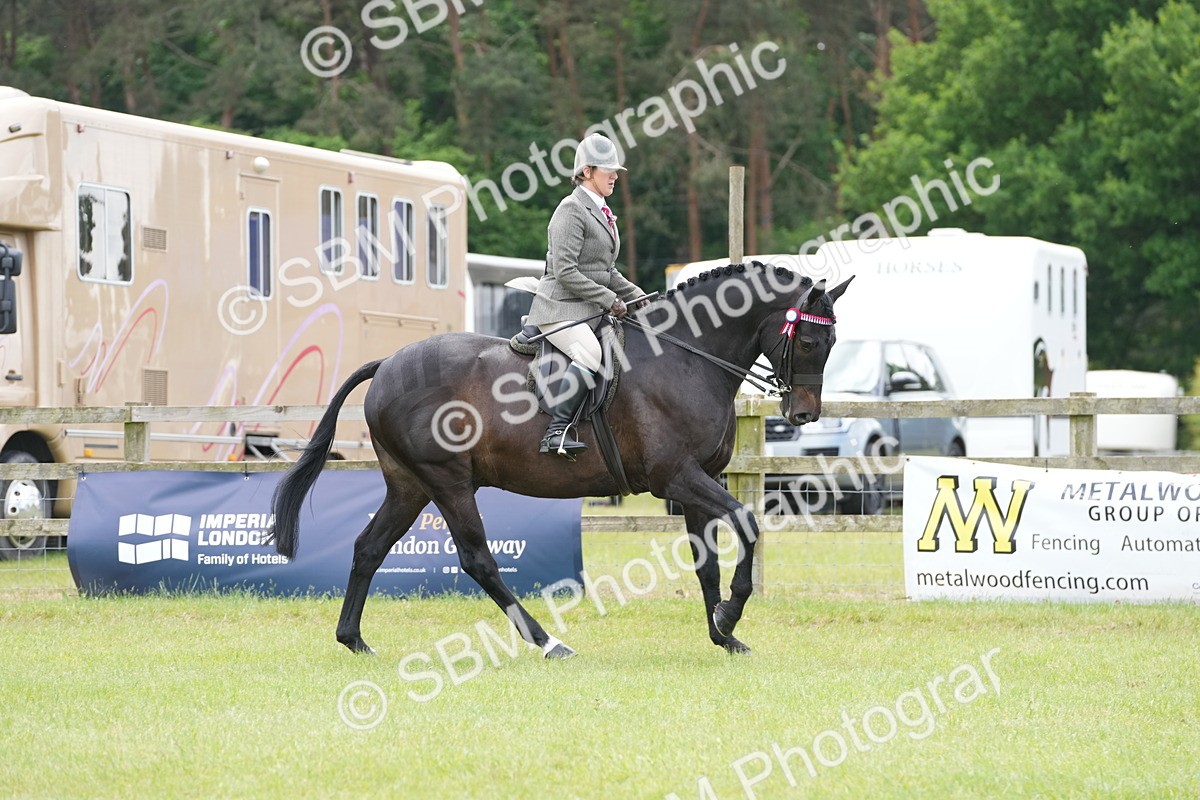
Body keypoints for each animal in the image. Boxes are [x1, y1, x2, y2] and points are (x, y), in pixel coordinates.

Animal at [268, 262, 852, 657]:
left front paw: (722, 633)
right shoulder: (676, 478)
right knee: (477, 560)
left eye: (832, 342)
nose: (803, 413)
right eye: (809, 341)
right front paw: (730, 615)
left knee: (369, 547)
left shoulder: (698, 481)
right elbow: (748, 523)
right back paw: (547, 642)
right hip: (448, 483)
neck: (685, 357)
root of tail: (388, 362)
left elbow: (705, 561)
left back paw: (353, 639)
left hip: (409, 485)